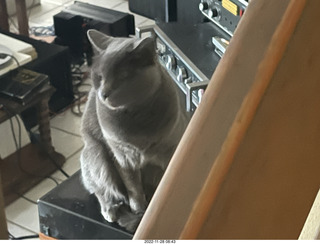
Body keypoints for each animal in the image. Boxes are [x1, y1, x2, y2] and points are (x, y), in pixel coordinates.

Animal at [80, 29, 190, 234]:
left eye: (122, 77)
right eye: (99, 77)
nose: (103, 94)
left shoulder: (171, 149)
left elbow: (166, 178)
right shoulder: (122, 156)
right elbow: (132, 186)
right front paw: (139, 209)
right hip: (96, 155)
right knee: (101, 189)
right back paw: (110, 210)